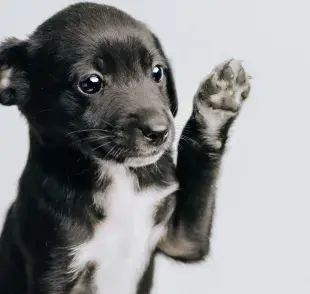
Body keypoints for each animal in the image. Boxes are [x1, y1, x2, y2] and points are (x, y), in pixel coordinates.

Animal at [0, 2, 252, 294]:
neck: (118, 177)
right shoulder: (54, 267)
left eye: (157, 72)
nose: (159, 132)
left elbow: (200, 173)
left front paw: (218, 102)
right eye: (91, 83)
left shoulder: (183, 240)